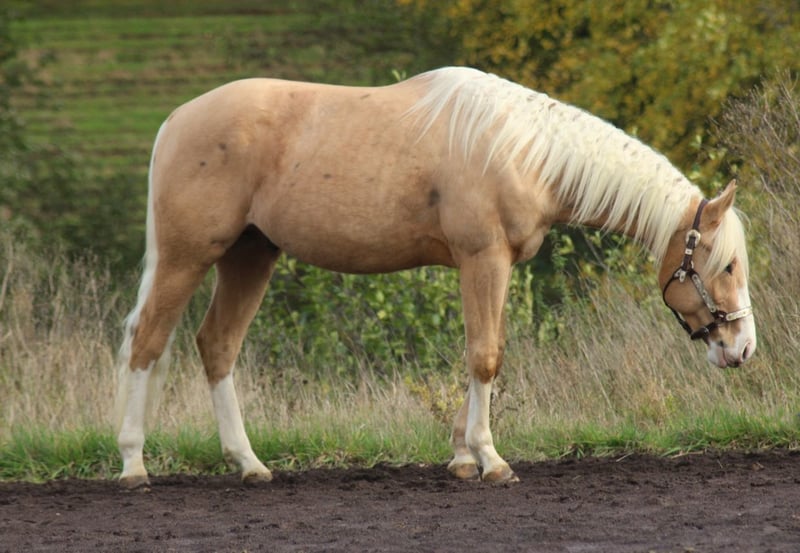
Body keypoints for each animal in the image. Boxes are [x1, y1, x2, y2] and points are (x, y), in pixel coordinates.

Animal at [114, 67, 756, 488]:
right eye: (725, 265)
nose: (743, 347)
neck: (520, 148)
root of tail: (177, 120)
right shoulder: (483, 259)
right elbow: (485, 357)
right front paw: (492, 460)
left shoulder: (494, 266)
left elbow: (485, 352)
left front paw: (462, 457)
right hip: (187, 256)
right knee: (146, 343)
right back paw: (133, 465)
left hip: (250, 256)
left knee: (217, 345)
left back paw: (249, 465)